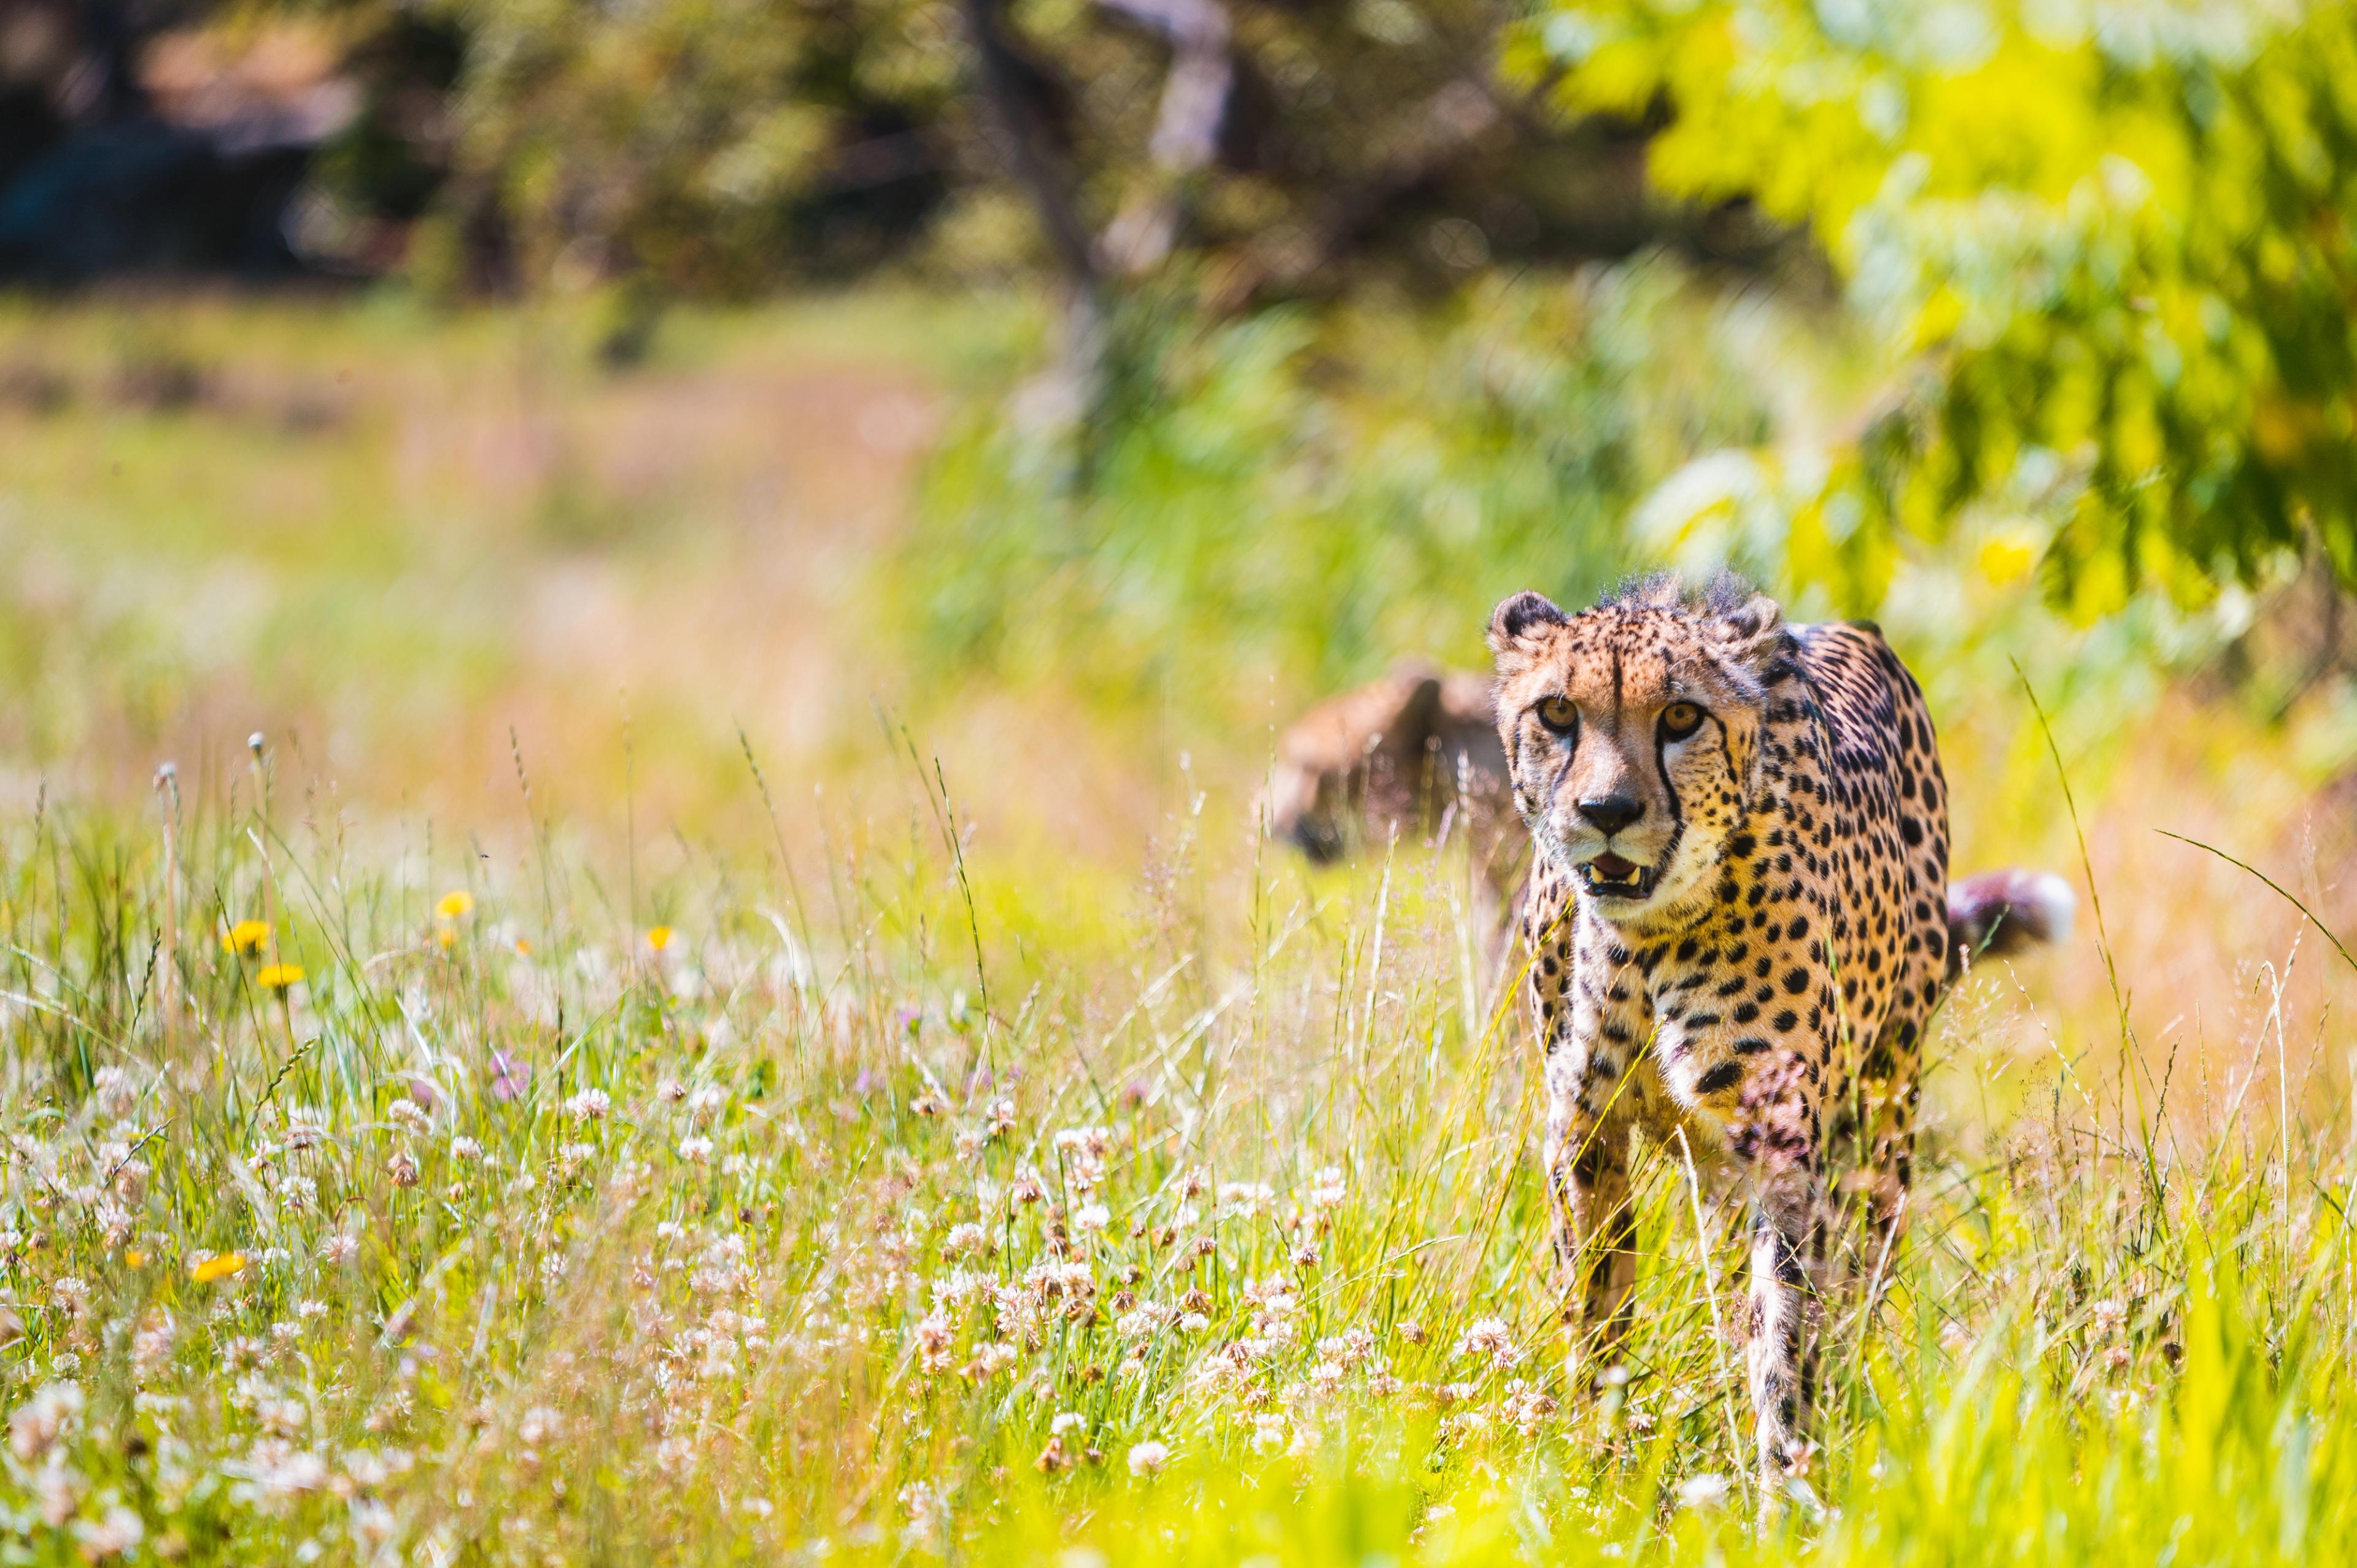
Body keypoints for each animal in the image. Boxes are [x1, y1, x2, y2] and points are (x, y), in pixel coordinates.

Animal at [1486, 572, 2071, 1495]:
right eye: (1556, 712)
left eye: (1681, 716)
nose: (1607, 810)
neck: (1646, 938)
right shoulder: (1585, 1126)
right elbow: (1596, 1304)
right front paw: (1596, 1469)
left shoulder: (1785, 1144)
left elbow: (1787, 1332)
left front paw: (1786, 1489)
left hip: (1882, 1116)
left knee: (1856, 1282)